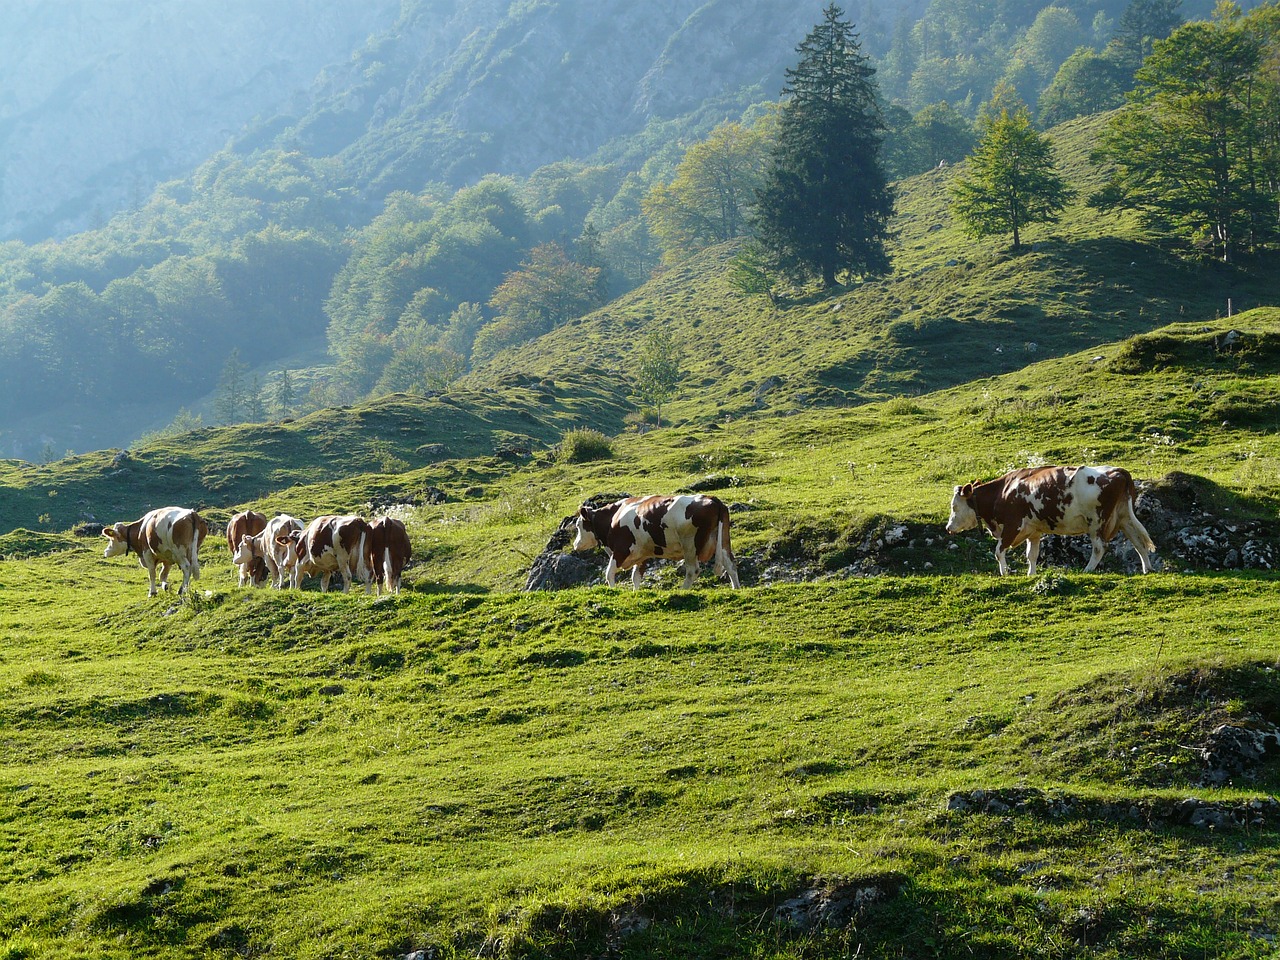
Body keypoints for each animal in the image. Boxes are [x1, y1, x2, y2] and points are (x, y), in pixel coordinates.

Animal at [573, 499, 742, 591]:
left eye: (578, 525)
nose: (575, 544)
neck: (614, 518)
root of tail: (713, 499)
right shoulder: (641, 555)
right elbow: (636, 577)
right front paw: (635, 592)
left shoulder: (620, 550)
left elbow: (609, 573)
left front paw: (614, 591)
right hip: (723, 540)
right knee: (730, 564)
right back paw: (736, 588)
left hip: (690, 545)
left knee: (692, 570)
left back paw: (682, 590)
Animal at [942, 463, 1162, 576]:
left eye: (954, 507)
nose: (948, 527)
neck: (1002, 492)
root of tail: (1118, 471)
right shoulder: (1034, 531)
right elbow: (1031, 555)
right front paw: (1031, 575)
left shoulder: (1012, 525)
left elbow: (998, 551)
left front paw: (1004, 574)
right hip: (1124, 517)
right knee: (1138, 542)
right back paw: (1147, 568)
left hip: (1096, 522)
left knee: (1100, 547)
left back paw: (1087, 569)